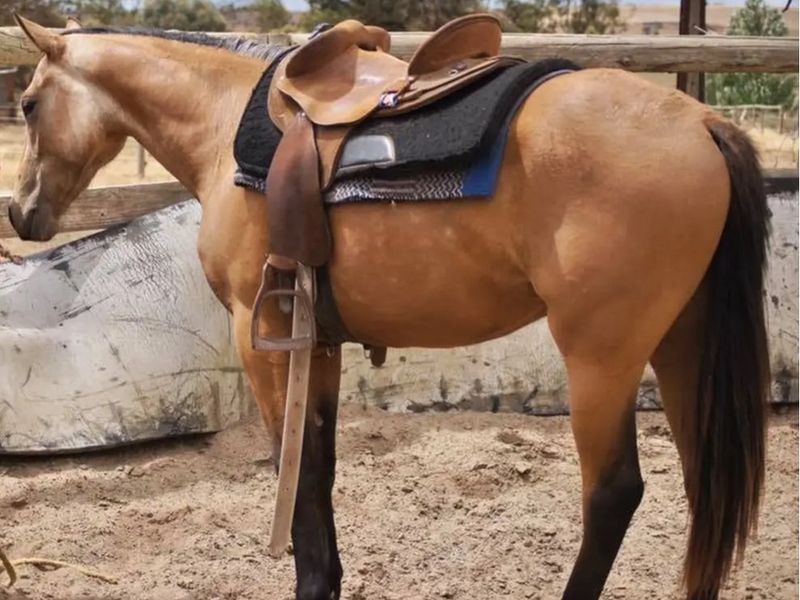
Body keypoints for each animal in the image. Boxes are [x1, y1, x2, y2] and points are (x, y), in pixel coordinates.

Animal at [7, 15, 770, 600]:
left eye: (29, 103)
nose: (20, 212)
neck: (223, 123)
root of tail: (702, 123)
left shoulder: (262, 337)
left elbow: (294, 470)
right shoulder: (317, 342)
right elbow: (318, 464)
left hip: (601, 358)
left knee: (613, 494)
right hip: (680, 344)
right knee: (704, 487)